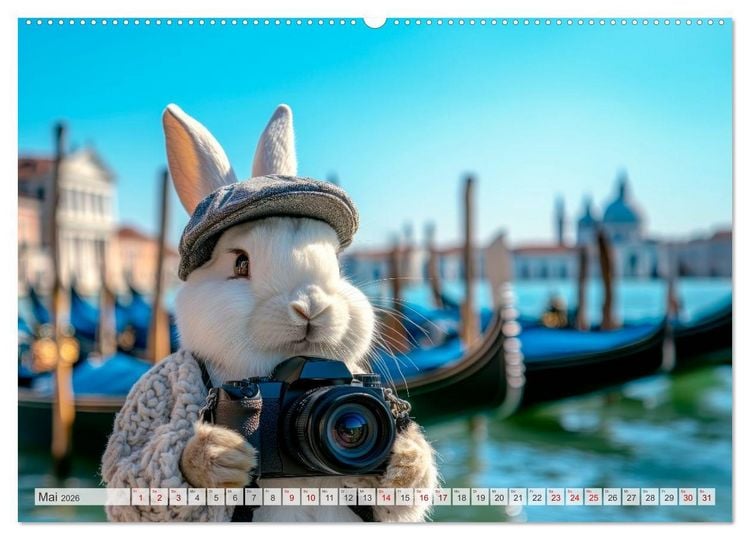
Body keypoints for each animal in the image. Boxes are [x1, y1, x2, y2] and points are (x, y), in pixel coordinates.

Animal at [100, 104, 438, 523]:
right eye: (240, 263)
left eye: (337, 263)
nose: (310, 306)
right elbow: (130, 475)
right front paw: (216, 457)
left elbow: (403, 496)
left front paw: (406, 458)